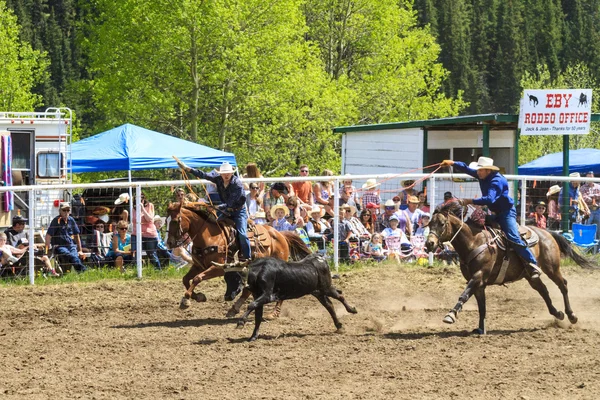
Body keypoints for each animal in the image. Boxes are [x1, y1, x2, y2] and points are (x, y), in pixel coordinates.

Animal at [166, 202, 312, 318]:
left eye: (175, 220)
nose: (169, 243)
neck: (208, 237)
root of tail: (280, 234)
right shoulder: (198, 266)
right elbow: (186, 279)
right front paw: (197, 297)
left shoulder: (219, 268)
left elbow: (197, 278)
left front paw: (186, 300)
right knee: (248, 291)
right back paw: (234, 309)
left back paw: (273, 313)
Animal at [424, 203, 596, 334]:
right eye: (429, 224)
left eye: (442, 224)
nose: (429, 244)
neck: (473, 241)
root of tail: (547, 232)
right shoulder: (480, 284)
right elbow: (482, 306)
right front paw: (480, 329)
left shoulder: (478, 276)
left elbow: (464, 295)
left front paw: (450, 315)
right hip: (530, 275)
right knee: (543, 291)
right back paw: (558, 314)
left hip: (552, 268)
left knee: (563, 285)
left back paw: (571, 315)